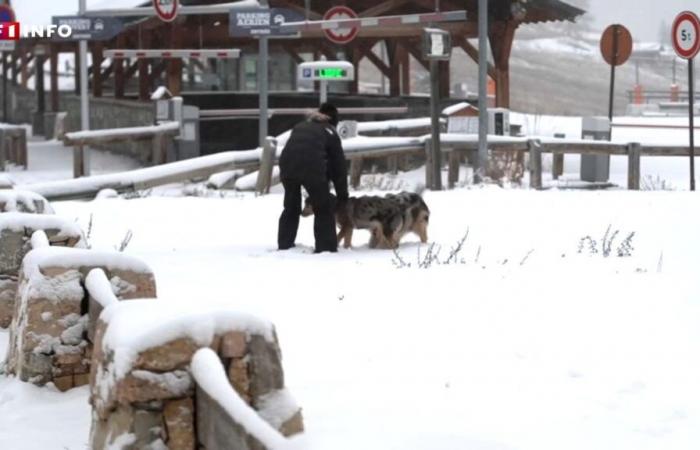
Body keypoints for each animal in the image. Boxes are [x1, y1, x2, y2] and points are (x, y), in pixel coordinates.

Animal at [302, 190, 432, 248]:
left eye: (307, 205)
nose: (300, 213)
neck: (335, 205)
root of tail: (398, 207)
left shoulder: (346, 227)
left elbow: (338, 238)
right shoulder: (349, 229)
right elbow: (347, 242)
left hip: (390, 230)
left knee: (394, 244)